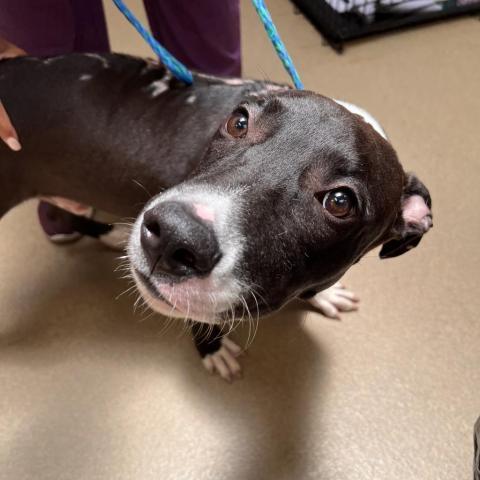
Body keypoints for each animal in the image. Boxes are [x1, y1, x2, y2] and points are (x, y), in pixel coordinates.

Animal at [0, 52, 434, 380]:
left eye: (340, 201)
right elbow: (201, 319)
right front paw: (211, 348)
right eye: (239, 121)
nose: (172, 236)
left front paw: (325, 294)